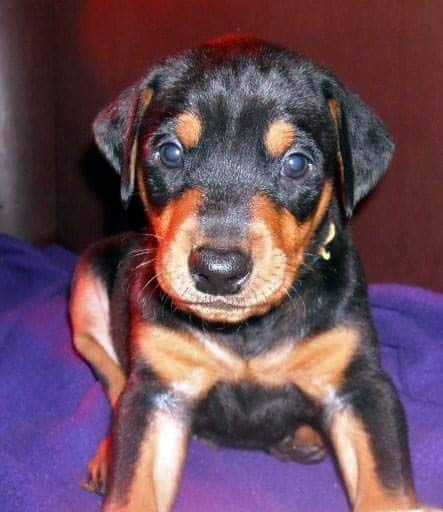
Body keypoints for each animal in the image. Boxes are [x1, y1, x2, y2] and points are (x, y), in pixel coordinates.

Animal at [70, 34, 440, 510]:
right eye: (169, 153)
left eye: (297, 163)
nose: (218, 271)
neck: (246, 329)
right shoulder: (159, 393)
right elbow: (134, 478)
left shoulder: (361, 386)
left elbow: (386, 479)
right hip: (87, 287)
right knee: (116, 383)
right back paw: (105, 453)